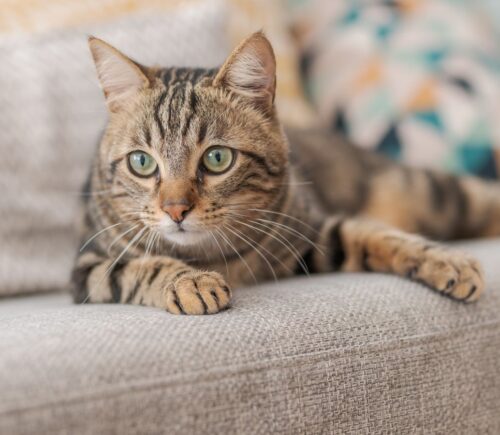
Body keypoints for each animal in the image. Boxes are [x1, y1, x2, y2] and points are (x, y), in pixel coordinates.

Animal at [71, 32, 500, 316]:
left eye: (217, 158)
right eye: (141, 163)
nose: (175, 210)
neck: (210, 254)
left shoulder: (313, 232)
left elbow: (376, 234)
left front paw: (446, 260)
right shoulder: (88, 269)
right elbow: (141, 267)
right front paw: (191, 281)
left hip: (430, 191)